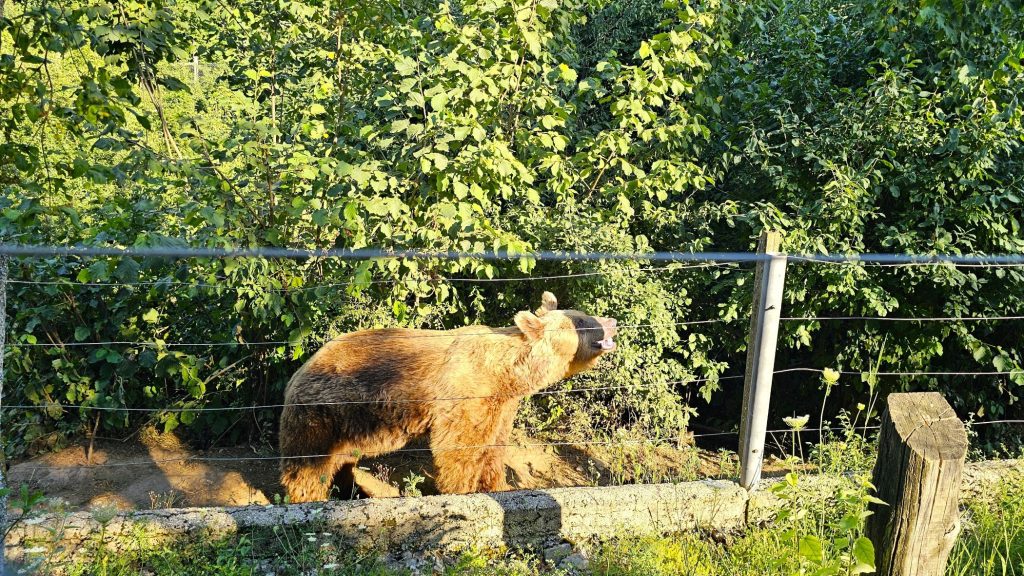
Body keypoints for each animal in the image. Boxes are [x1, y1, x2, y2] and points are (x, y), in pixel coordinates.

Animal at [278, 289, 614, 500]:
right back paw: (310, 496)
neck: (507, 372)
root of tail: (301, 368)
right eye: (581, 321)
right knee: (310, 462)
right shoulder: (467, 394)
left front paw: (499, 485)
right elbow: (459, 446)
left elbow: (494, 447)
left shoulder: (503, 404)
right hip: (326, 410)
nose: (610, 323)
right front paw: (462, 489)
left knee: (343, 461)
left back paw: (355, 491)